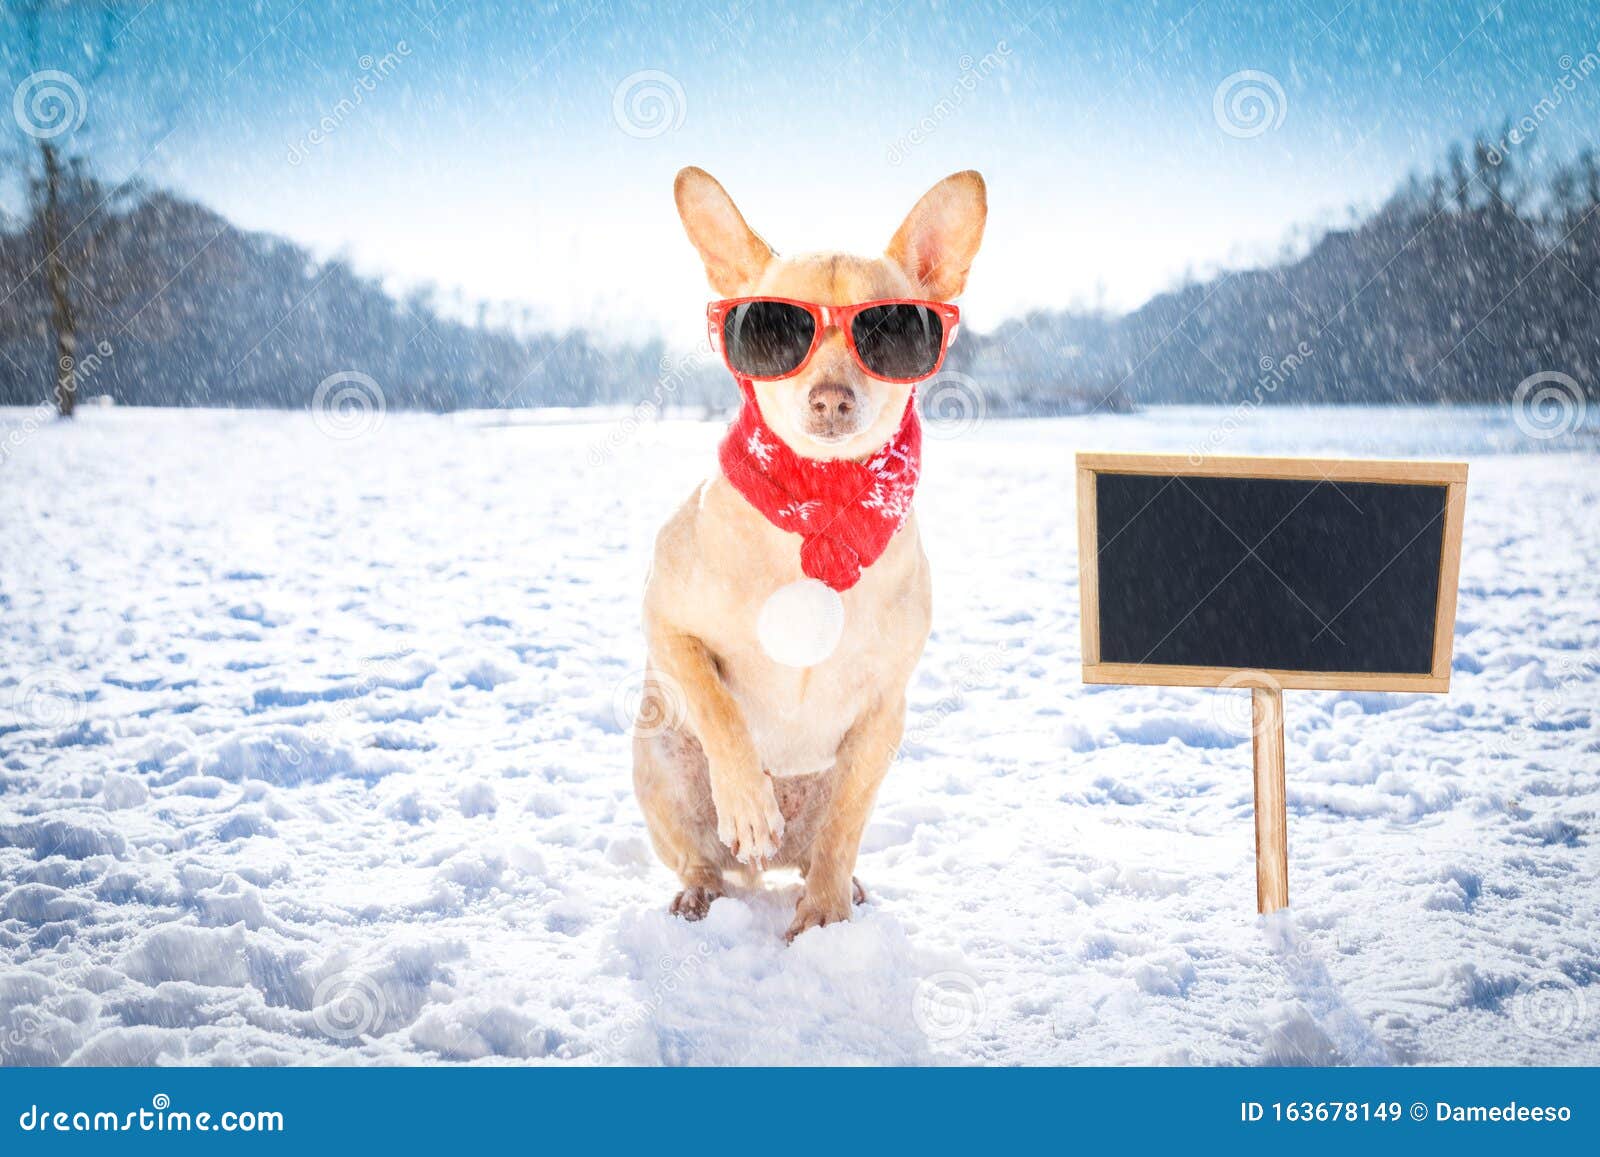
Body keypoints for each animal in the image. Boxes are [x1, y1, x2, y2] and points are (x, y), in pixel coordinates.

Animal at [627, 164, 979, 940]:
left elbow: (845, 824)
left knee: (828, 843)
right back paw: (705, 889)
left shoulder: (883, 707)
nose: (831, 399)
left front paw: (822, 921)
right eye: (776, 327)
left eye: (889, 327)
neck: (818, 501)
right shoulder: (669, 624)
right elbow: (718, 707)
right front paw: (747, 802)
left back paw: (842, 888)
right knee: (701, 859)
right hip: (659, 762)